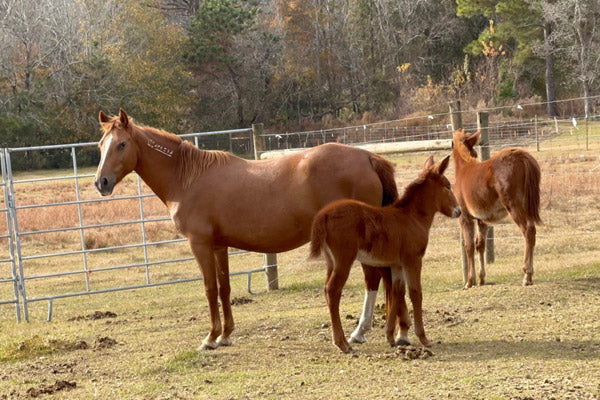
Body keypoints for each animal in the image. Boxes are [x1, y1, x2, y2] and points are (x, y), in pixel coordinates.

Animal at [95, 109, 398, 350]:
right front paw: (225, 335)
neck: (187, 178)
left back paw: (357, 333)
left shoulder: (200, 244)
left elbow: (209, 288)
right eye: (100, 145)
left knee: (373, 277)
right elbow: (224, 287)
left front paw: (210, 338)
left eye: (121, 144)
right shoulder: (219, 245)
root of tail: (367, 157)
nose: (101, 182)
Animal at [310, 156, 460, 354]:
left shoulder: (397, 264)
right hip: (344, 260)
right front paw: (423, 338)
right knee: (332, 290)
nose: (458, 211)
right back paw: (343, 343)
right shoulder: (413, 260)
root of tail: (324, 214)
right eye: (448, 186)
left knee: (327, 290)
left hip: (331, 262)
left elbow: (397, 292)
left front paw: (390, 337)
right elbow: (415, 292)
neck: (411, 217)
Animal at [450, 130, 544, 290]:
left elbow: (469, 246)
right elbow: (480, 245)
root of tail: (521, 156)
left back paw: (527, 275)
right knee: (532, 231)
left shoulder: (465, 218)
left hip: (514, 207)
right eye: (474, 151)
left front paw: (469, 281)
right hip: (526, 207)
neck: (464, 169)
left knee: (528, 231)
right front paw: (481, 279)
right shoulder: (482, 221)